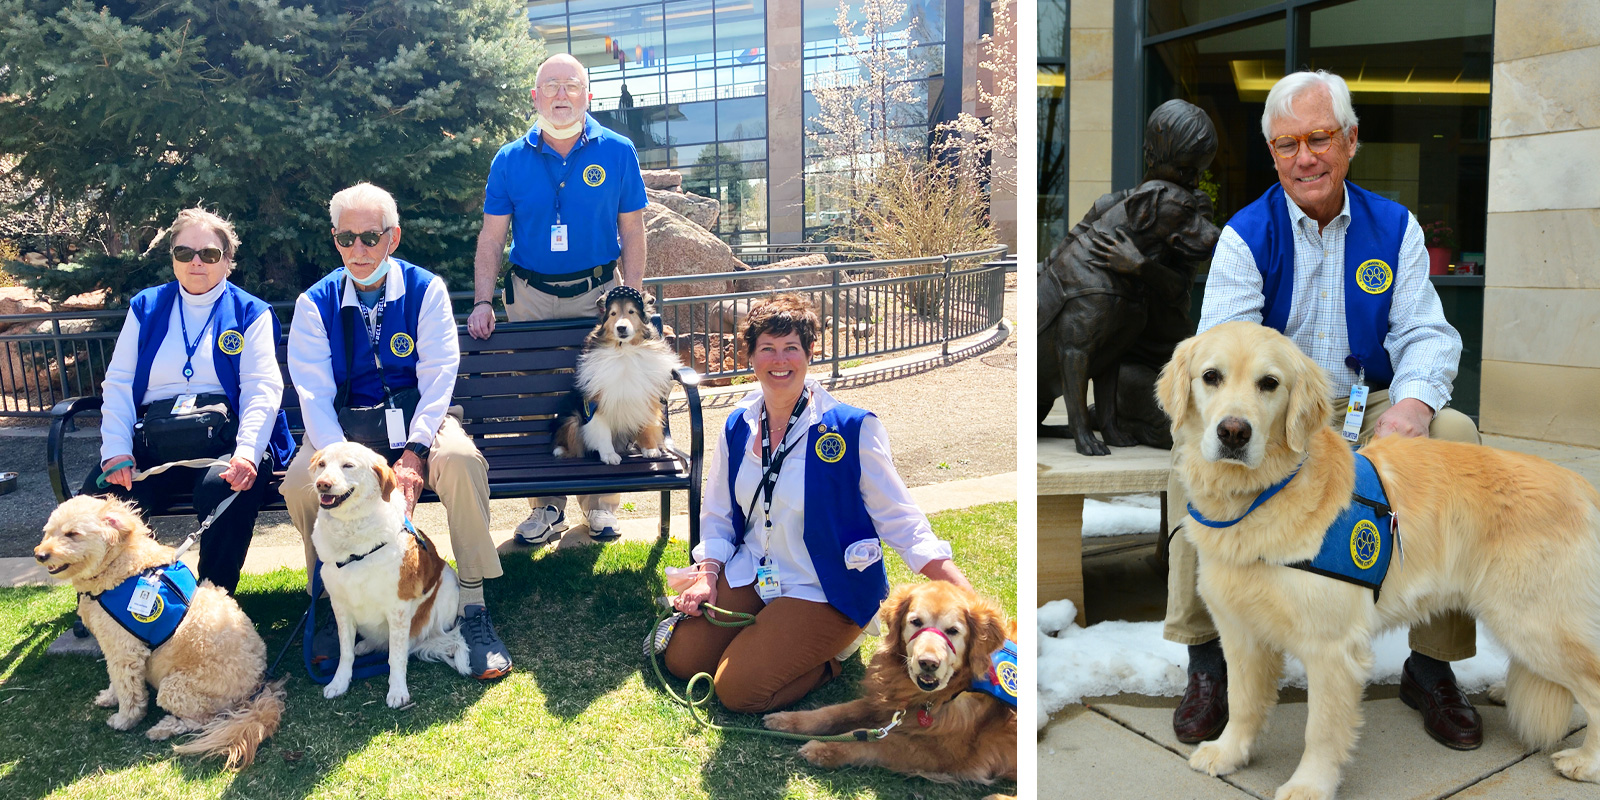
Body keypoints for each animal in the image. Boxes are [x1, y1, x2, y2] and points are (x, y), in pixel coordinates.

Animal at [34, 492, 284, 768]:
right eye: (49, 531)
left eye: (72, 534)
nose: (39, 555)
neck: (119, 566)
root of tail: (257, 688)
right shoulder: (112, 647)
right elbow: (115, 680)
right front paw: (109, 697)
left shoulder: (126, 651)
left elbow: (129, 690)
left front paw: (124, 719)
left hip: (175, 688)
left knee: (202, 721)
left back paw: (164, 728)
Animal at [305, 441, 467, 710]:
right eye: (322, 465)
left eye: (348, 465)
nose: (322, 484)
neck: (353, 541)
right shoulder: (340, 606)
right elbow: (345, 652)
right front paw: (339, 682)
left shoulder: (398, 608)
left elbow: (397, 656)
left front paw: (398, 690)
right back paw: (366, 645)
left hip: (448, 587)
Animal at [553, 286, 678, 467]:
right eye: (613, 313)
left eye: (631, 311)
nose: (621, 328)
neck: (625, 350)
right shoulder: (596, 404)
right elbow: (602, 432)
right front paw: (608, 455)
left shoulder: (645, 398)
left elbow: (646, 426)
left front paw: (650, 449)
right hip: (573, 418)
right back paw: (561, 450)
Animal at [758, 582, 1011, 793]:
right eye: (916, 622)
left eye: (953, 631)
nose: (928, 663)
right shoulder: (883, 701)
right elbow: (834, 712)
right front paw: (786, 720)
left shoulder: (943, 754)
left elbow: (876, 742)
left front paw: (822, 748)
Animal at [1158, 318, 1600, 800]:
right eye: (1211, 377)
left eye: (1269, 383)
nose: (1234, 432)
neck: (1263, 495)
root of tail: (1581, 484)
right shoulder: (1241, 631)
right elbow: (1242, 703)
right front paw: (1228, 753)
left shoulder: (1332, 647)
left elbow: (1321, 729)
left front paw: (1309, 785)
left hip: (1533, 620)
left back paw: (1586, 761)